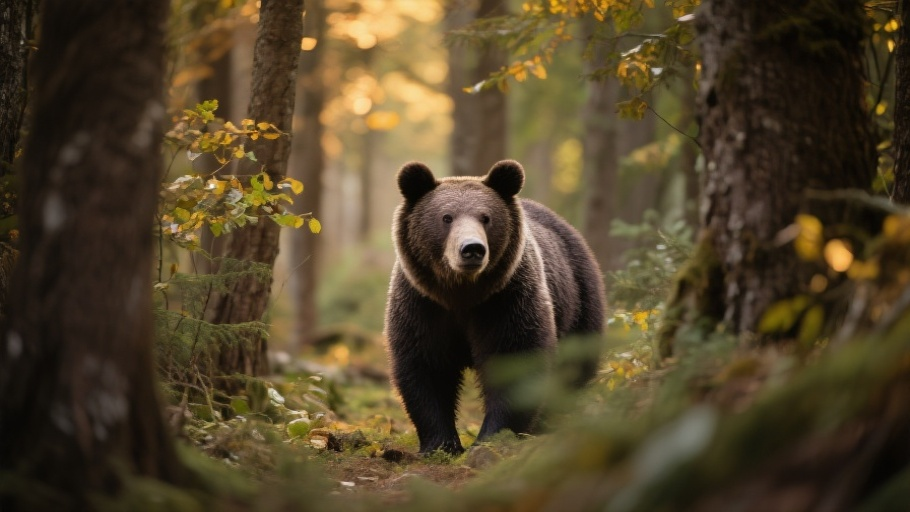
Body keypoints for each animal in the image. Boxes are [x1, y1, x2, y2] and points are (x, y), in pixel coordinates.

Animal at [384, 159, 605, 455]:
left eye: (486, 217)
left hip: (579, 300)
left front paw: (492, 438)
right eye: (446, 217)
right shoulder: (423, 305)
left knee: (574, 368)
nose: (472, 249)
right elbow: (426, 365)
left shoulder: (506, 301)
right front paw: (441, 443)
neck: (462, 293)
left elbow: (515, 359)